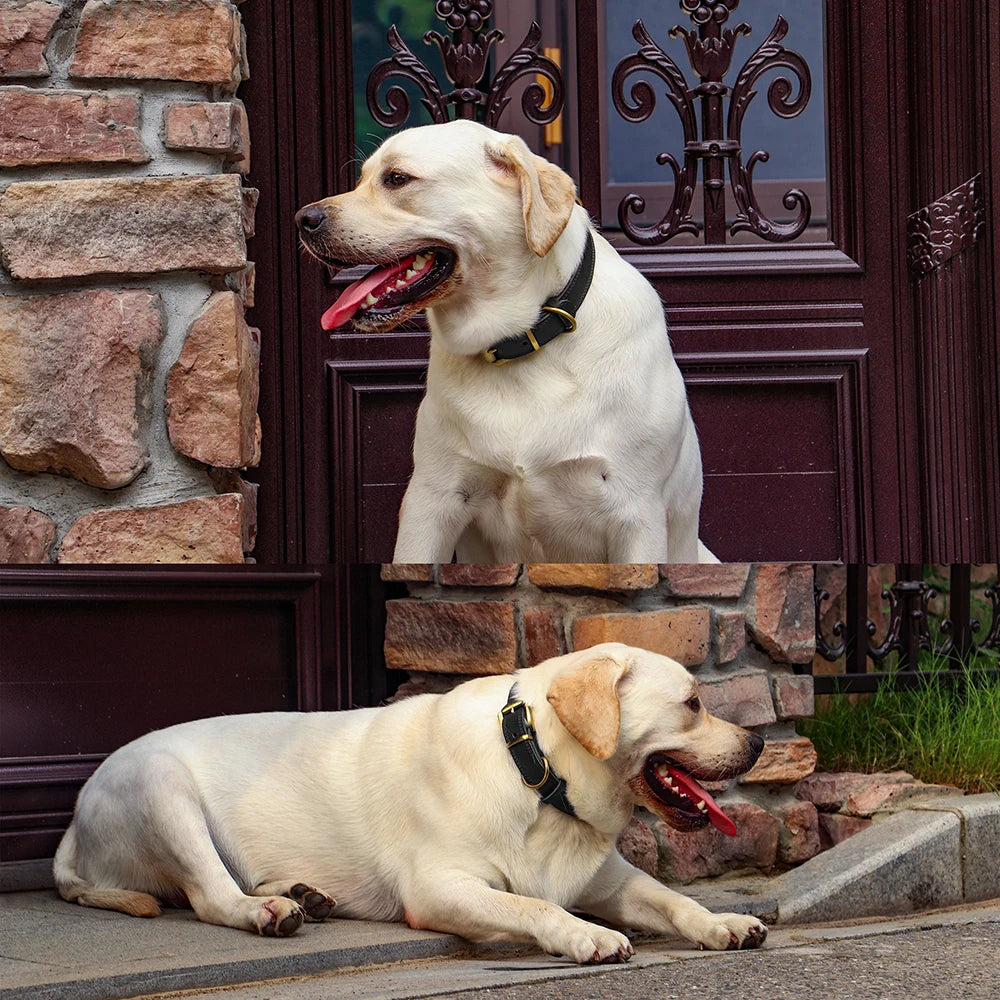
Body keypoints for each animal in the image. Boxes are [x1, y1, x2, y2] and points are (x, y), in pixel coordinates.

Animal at [54, 640, 768, 960]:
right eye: (693, 704)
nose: (761, 742)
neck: (536, 769)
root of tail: (71, 828)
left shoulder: (609, 878)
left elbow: (672, 899)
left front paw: (722, 922)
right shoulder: (440, 887)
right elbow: (532, 904)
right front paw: (585, 934)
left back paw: (300, 893)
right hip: (162, 787)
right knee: (211, 896)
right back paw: (267, 911)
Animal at [292, 119, 716, 564]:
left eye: (396, 179)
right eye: (362, 179)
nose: (303, 219)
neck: (520, 342)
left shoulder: (637, 513)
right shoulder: (431, 500)